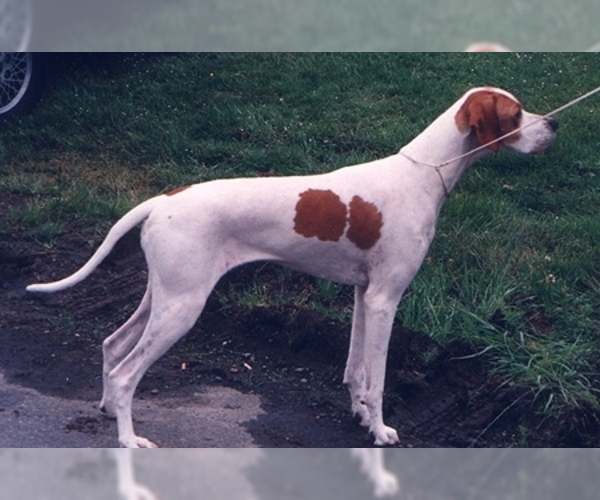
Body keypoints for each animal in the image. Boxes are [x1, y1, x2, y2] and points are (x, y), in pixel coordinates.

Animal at [28, 88, 560, 448]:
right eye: (516, 114)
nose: (554, 127)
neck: (422, 174)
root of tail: (163, 200)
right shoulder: (386, 299)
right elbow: (378, 378)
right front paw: (381, 430)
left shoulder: (364, 295)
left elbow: (355, 370)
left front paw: (359, 415)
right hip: (182, 307)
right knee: (126, 372)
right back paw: (127, 438)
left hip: (163, 297)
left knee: (112, 345)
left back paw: (107, 410)